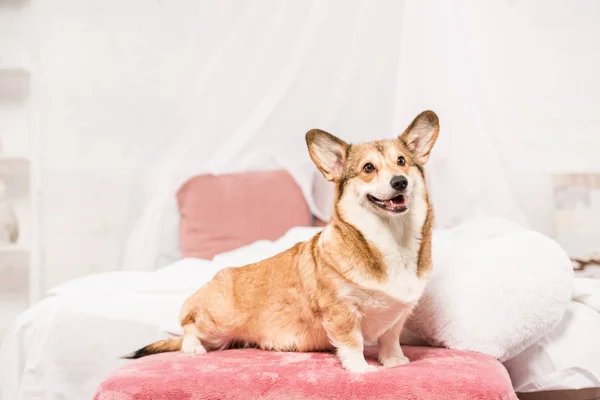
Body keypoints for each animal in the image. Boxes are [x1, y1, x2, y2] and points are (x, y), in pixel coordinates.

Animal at [124, 110, 438, 372]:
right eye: (368, 168)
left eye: (402, 162)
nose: (400, 182)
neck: (392, 240)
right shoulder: (341, 311)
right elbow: (353, 343)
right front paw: (361, 369)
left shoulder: (398, 316)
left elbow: (391, 339)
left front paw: (394, 361)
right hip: (215, 322)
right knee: (188, 327)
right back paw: (192, 347)